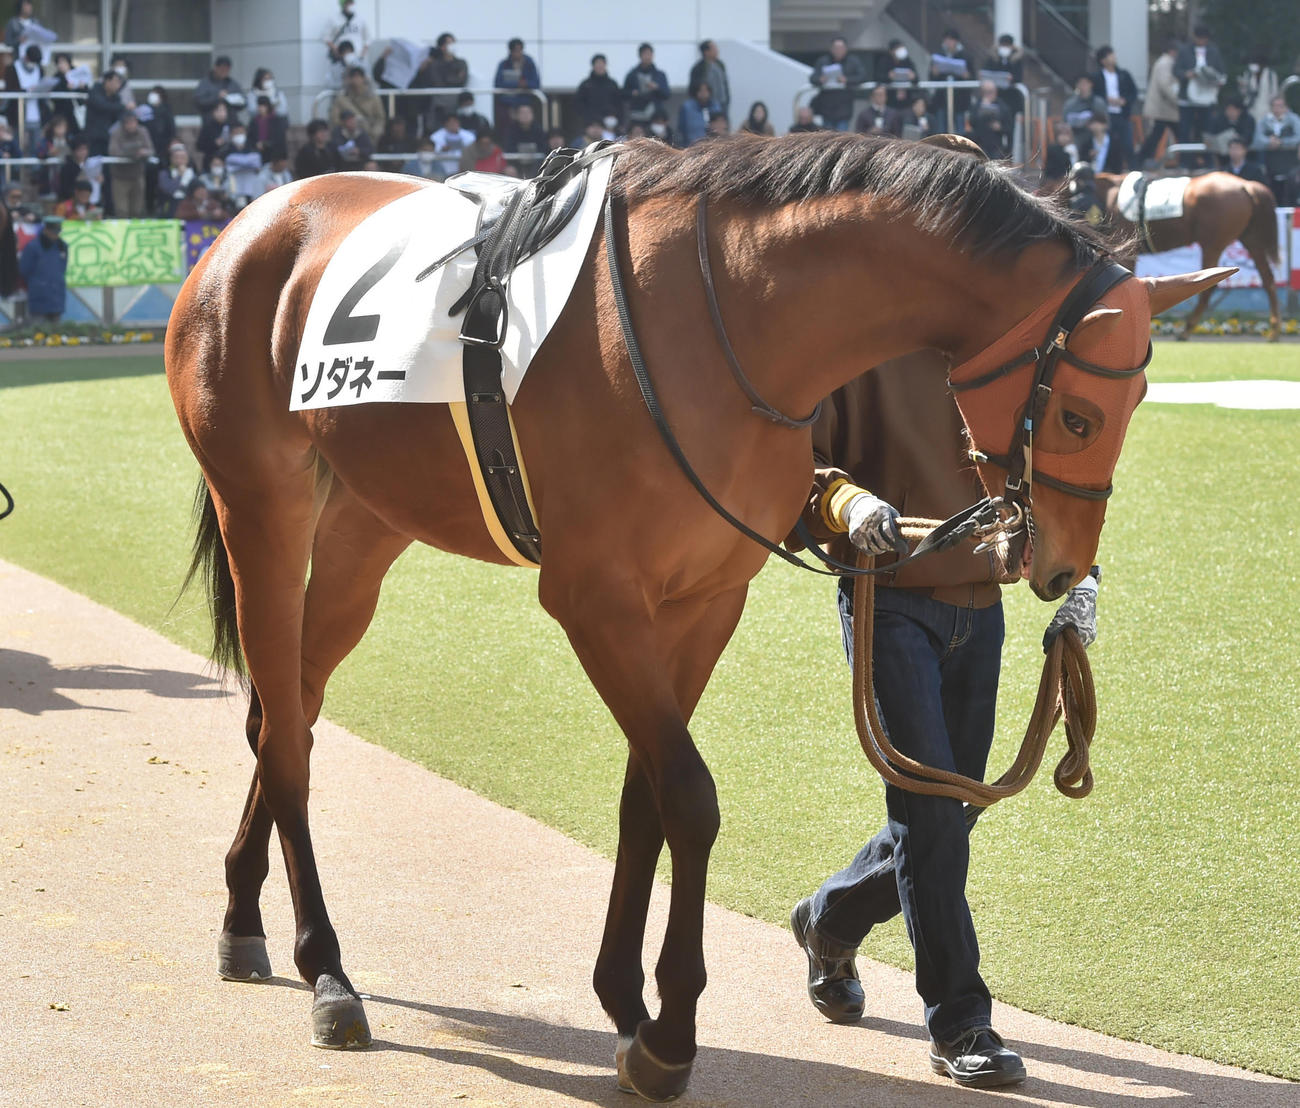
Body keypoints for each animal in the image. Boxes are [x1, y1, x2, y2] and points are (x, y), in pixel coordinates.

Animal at [165, 133, 1226, 1101]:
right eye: (1080, 415)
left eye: (1140, 397)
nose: (1059, 566)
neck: (732, 323)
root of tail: (252, 224)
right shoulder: (596, 600)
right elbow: (691, 794)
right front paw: (669, 1035)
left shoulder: (703, 601)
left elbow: (648, 793)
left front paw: (624, 1003)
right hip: (263, 507)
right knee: (287, 730)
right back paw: (328, 972)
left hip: (366, 527)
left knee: (284, 708)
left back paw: (241, 916)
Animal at [1091, 170, 1280, 341]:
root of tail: (1245, 185)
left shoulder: (1126, 254)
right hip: (1252, 240)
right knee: (1268, 279)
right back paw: (1273, 331)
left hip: (1213, 245)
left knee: (1210, 286)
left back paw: (1186, 329)